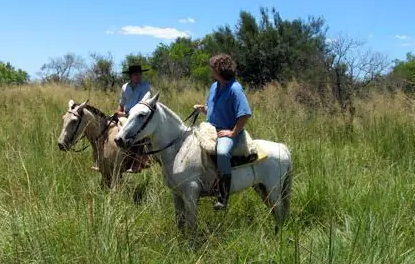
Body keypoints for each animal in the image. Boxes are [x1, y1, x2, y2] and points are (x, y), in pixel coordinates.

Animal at [114, 92, 292, 236]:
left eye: (142, 115)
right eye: (129, 112)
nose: (118, 139)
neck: (178, 149)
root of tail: (283, 148)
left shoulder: (191, 193)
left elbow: (192, 225)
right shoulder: (177, 194)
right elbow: (180, 222)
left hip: (274, 189)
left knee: (279, 212)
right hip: (262, 189)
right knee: (276, 212)